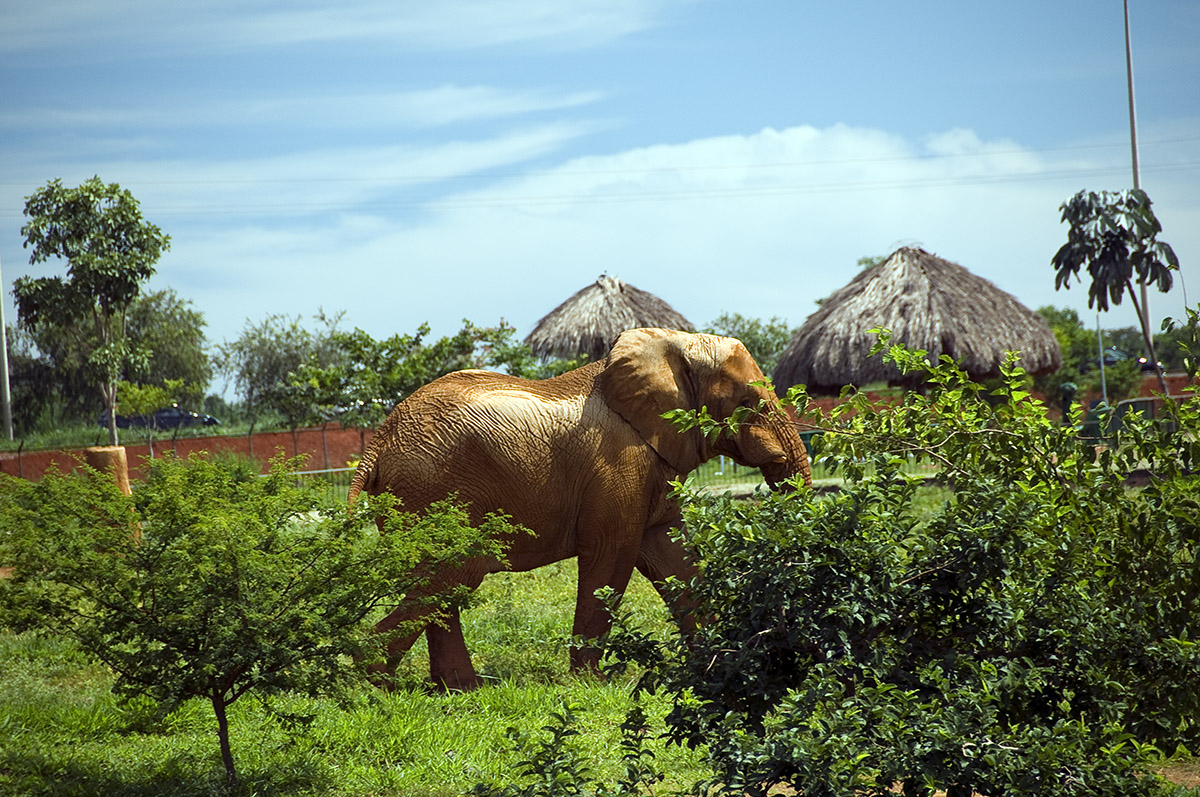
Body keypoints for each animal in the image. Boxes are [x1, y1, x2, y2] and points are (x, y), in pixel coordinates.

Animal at [348, 327, 811, 690]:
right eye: (751, 402)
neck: (674, 343)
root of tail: (379, 440)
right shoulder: (620, 463)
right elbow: (613, 557)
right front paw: (592, 683)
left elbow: (674, 559)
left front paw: (722, 666)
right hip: (430, 492)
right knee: (454, 573)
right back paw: (373, 679)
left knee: (446, 584)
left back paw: (462, 689)